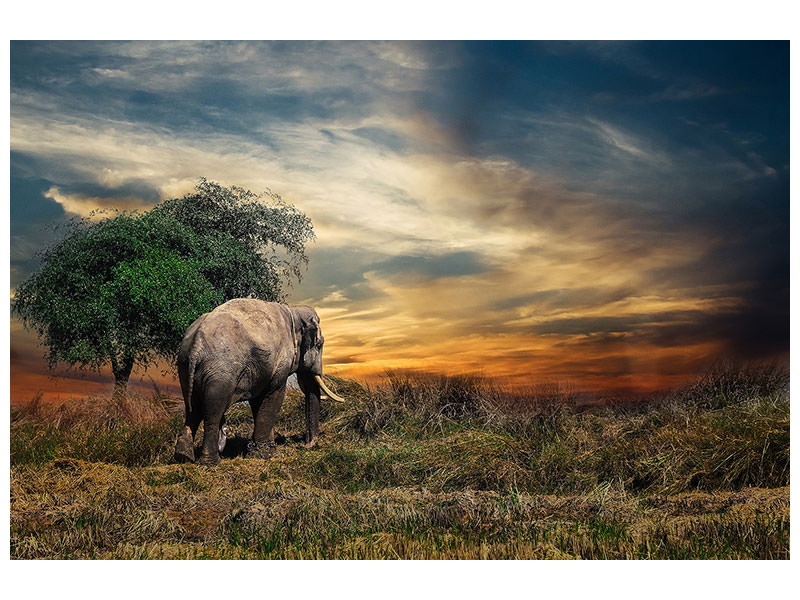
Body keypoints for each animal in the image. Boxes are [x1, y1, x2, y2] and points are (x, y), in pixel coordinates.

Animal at [173, 298, 344, 466]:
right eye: (320, 344)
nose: (306, 445)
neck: (293, 311)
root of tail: (196, 344)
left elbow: (258, 402)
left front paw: (268, 451)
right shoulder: (279, 364)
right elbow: (274, 397)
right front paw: (263, 455)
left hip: (185, 367)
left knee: (193, 409)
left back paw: (184, 457)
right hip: (220, 372)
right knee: (212, 412)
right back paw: (212, 462)